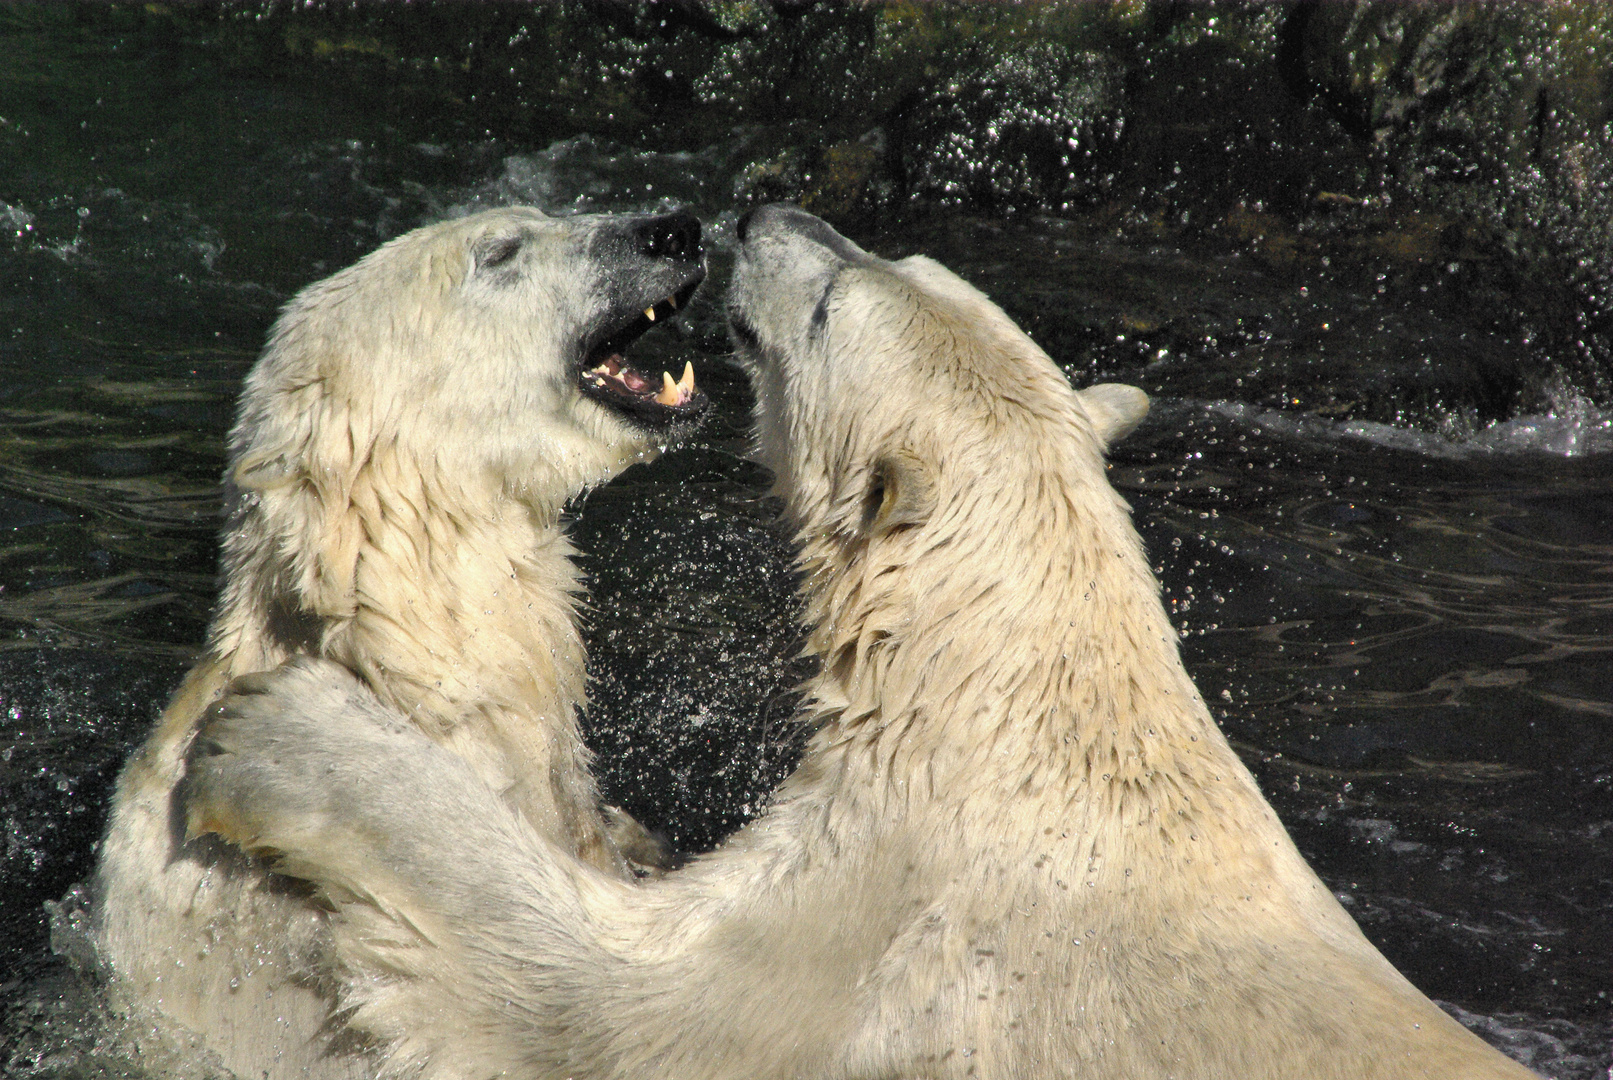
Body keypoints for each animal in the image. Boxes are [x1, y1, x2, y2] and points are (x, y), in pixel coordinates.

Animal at [179, 205, 1535, 1080]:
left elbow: (592, 996)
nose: (762, 209)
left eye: (831, 302)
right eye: (904, 250)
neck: (1007, 709)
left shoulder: (866, 932)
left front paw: (278, 736)